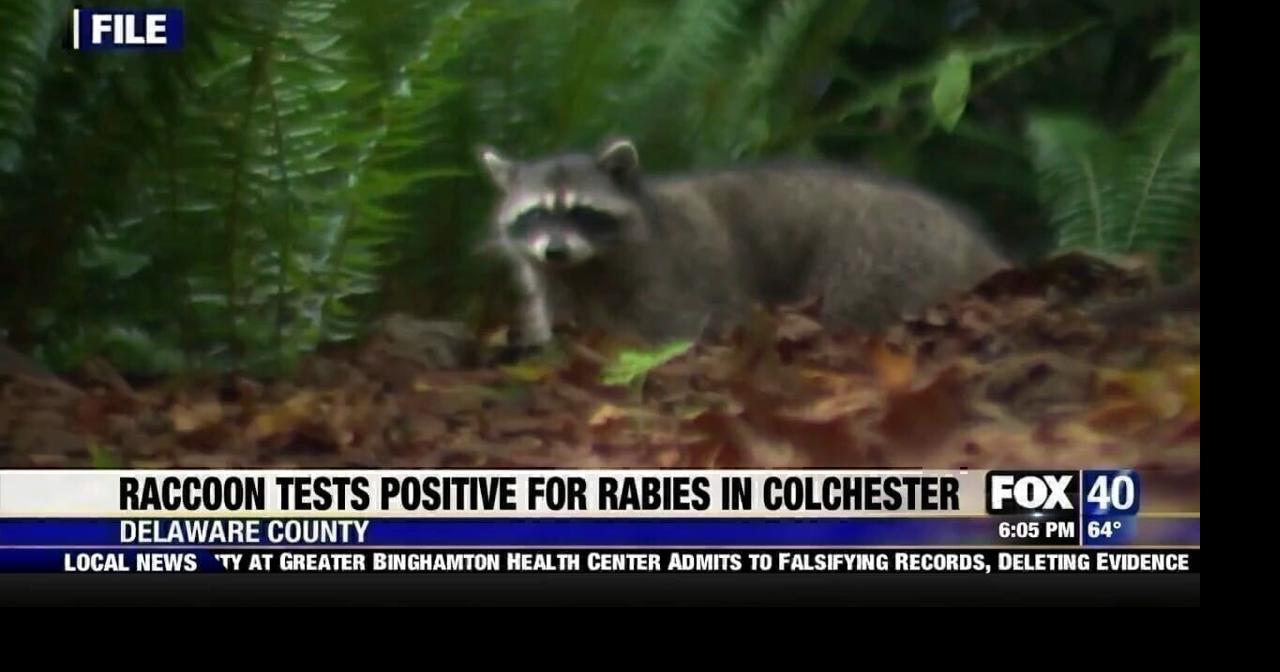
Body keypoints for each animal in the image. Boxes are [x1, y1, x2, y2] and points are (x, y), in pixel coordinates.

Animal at [477, 137, 1009, 347]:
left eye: (580, 212)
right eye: (536, 215)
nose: (555, 250)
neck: (586, 267)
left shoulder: (672, 274)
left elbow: (676, 326)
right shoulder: (556, 286)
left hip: (884, 257)